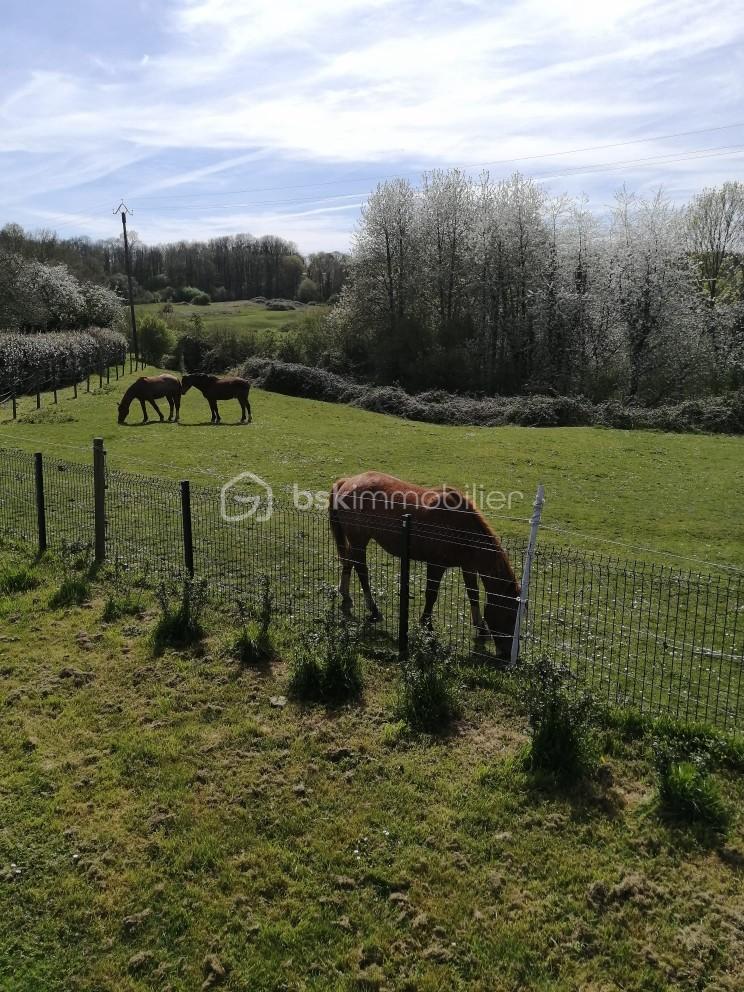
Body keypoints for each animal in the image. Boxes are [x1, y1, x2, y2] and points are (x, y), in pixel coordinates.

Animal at [329, 471, 521, 658]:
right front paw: (427, 626)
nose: (508, 654)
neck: (460, 526)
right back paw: (373, 609)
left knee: (349, 562)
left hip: (356, 542)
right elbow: (431, 595)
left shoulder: (469, 567)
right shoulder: (436, 566)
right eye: (510, 616)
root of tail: (347, 482)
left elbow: (473, 594)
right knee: (361, 570)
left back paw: (345, 594)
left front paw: (481, 628)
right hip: (359, 540)